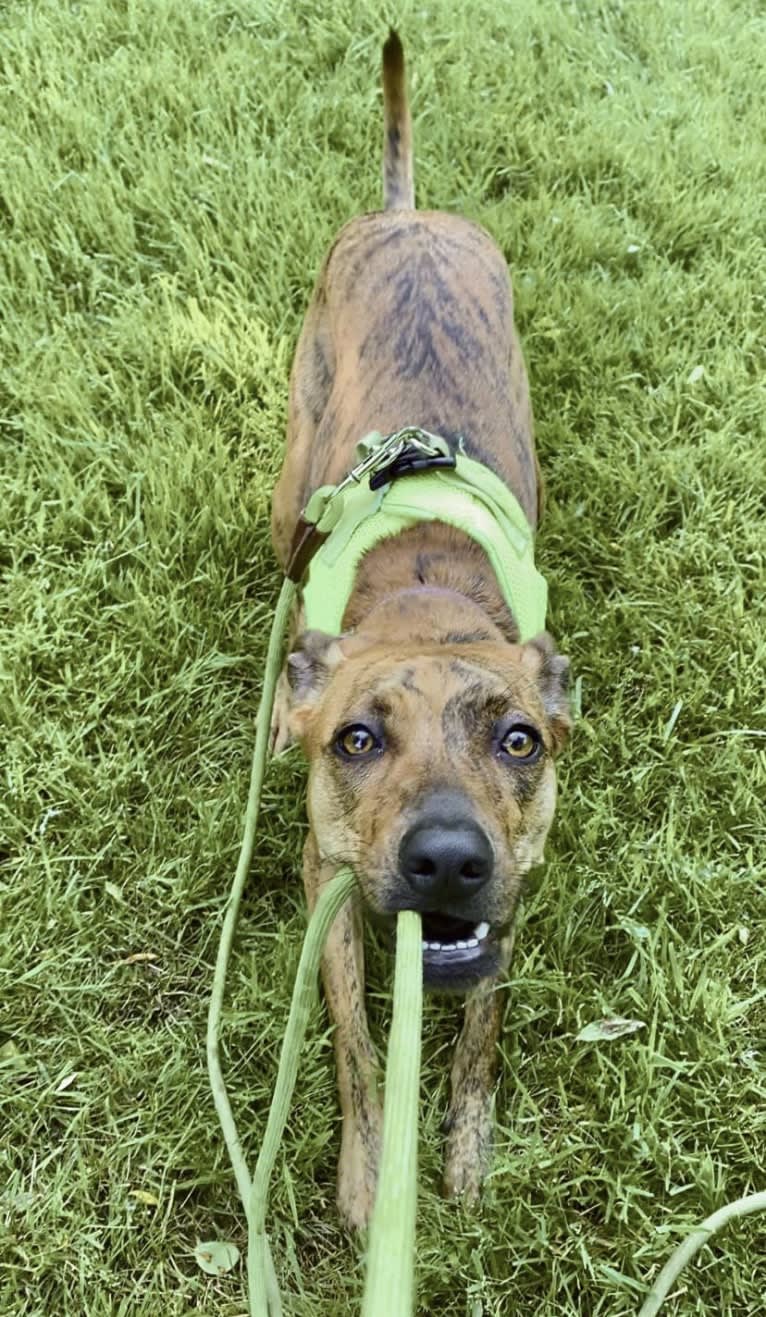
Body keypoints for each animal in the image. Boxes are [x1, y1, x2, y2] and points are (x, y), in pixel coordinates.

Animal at [269, 33, 571, 1232]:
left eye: (520, 739)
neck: (429, 592)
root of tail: (410, 215)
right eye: (356, 739)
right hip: (287, 474)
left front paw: (466, 1149)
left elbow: (482, 1029)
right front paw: (368, 1174)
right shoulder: (329, 884)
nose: (446, 858)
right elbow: (356, 1046)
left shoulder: (518, 886)